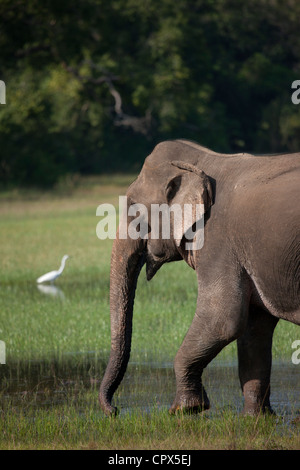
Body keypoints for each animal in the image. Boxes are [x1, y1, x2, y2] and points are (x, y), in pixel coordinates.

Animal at [99, 139, 300, 414]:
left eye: (132, 206)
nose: (114, 411)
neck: (204, 160)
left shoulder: (217, 241)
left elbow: (223, 319)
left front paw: (184, 410)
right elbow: (254, 328)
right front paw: (256, 416)